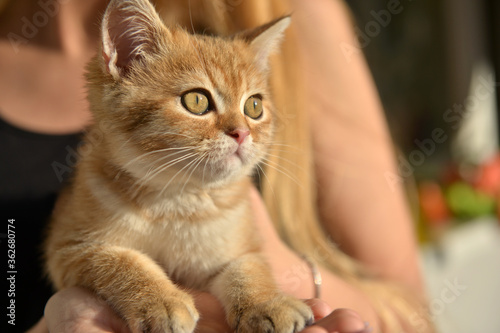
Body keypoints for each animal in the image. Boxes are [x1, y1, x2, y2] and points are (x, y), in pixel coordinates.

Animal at [46, 0, 312, 332]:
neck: (179, 202)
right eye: (196, 101)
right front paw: (160, 301)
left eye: (254, 106)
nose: (242, 132)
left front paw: (267, 303)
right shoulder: (69, 247)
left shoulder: (238, 246)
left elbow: (248, 268)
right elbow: (121, 261)